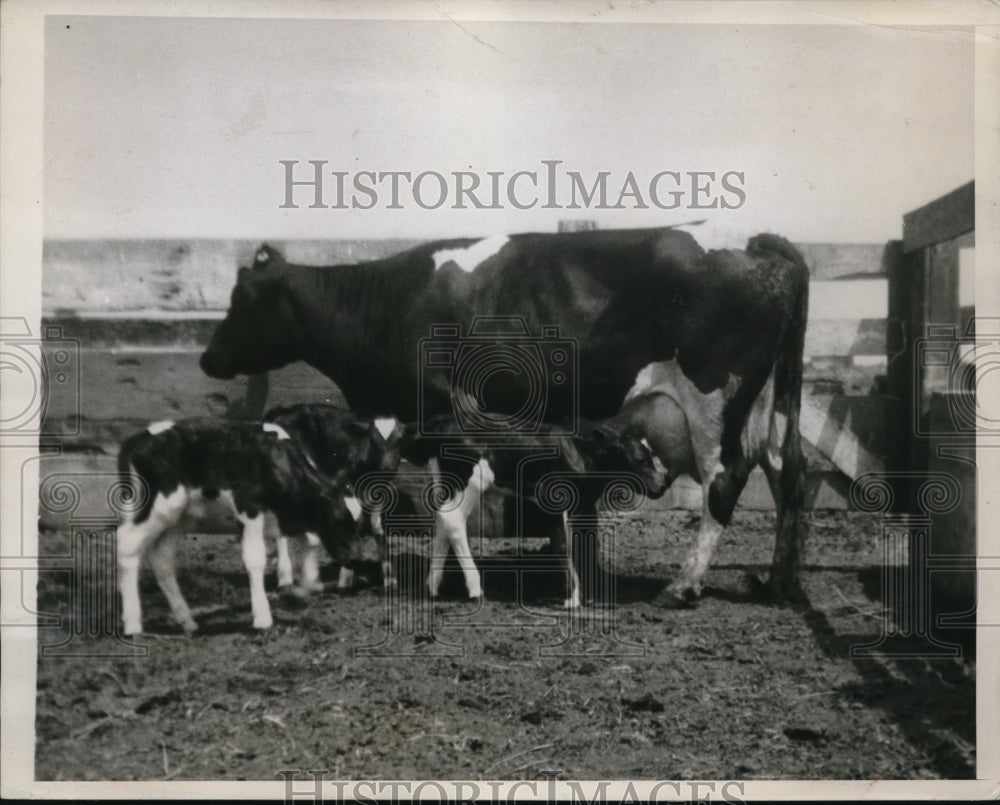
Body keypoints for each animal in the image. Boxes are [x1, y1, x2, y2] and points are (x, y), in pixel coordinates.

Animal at [116, 418, 361, 635]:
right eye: (337, 520)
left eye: (358, 524)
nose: (355, 559)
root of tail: (137, 439)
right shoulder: (248, 508)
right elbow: (255, 559)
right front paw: (262, 618)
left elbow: (311, 540)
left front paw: (306, 586)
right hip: (159, 505)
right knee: (127, 543)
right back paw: (133, 624)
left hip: (180, 518)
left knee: (162, 557)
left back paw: (187, 621)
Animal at [262, 404, 406, 591]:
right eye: (373, 441)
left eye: (400, 440)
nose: (387, 467)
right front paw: (344, 578)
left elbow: (377, 528)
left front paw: (390, 579)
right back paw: (285, 577)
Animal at [400, 413, 669, 606]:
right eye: (640, 459)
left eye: (652, 454)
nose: (663, 484)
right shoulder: (556, 500)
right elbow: (563, 545)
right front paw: (572, 599)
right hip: (472, 478)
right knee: (453, 519)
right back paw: (475, 588)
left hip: (446, 480)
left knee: (441, 519)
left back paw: (433, 587)